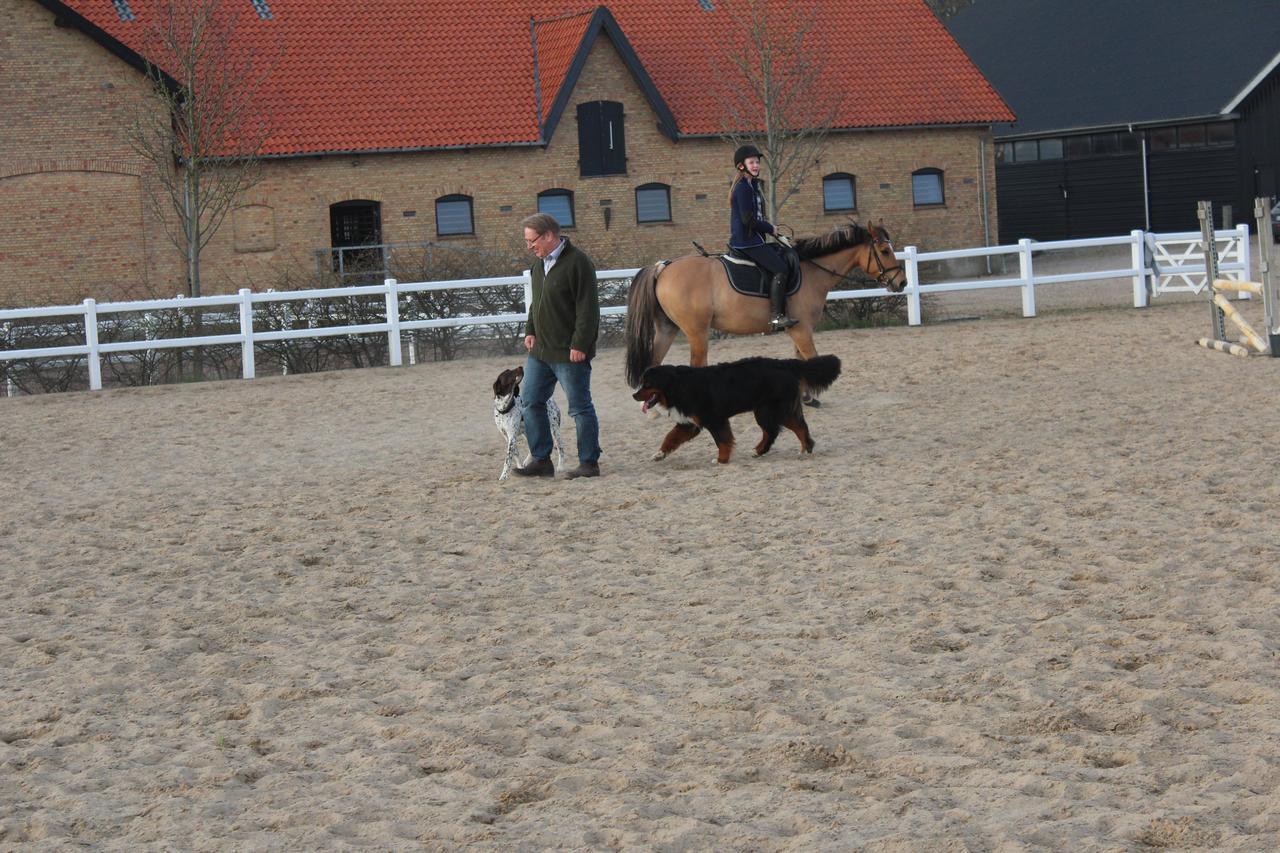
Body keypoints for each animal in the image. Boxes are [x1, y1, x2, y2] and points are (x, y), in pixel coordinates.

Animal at [622, 217, 906, 394]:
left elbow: (800, 360)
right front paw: (813, 395)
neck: (811, 270)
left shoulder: (798, 329)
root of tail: (663, 267)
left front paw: (805, 396)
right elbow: (811, 358)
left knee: (654, 361)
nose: (901, 282)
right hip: (697, 332)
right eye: (884, 251)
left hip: (668, 328)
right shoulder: (802, 330)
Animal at [629, 353, 839, 466]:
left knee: (782, 430)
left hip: (770, 410)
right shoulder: (689, 424)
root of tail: (785, 363)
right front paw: (659, 454)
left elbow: (722, 441)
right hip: (768, 410)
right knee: (786, 429)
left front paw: (721, 460)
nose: (634, 395)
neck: (678, 386)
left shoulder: (714, 419)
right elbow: (670, 437)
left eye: (647, 383)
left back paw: (801, 449)